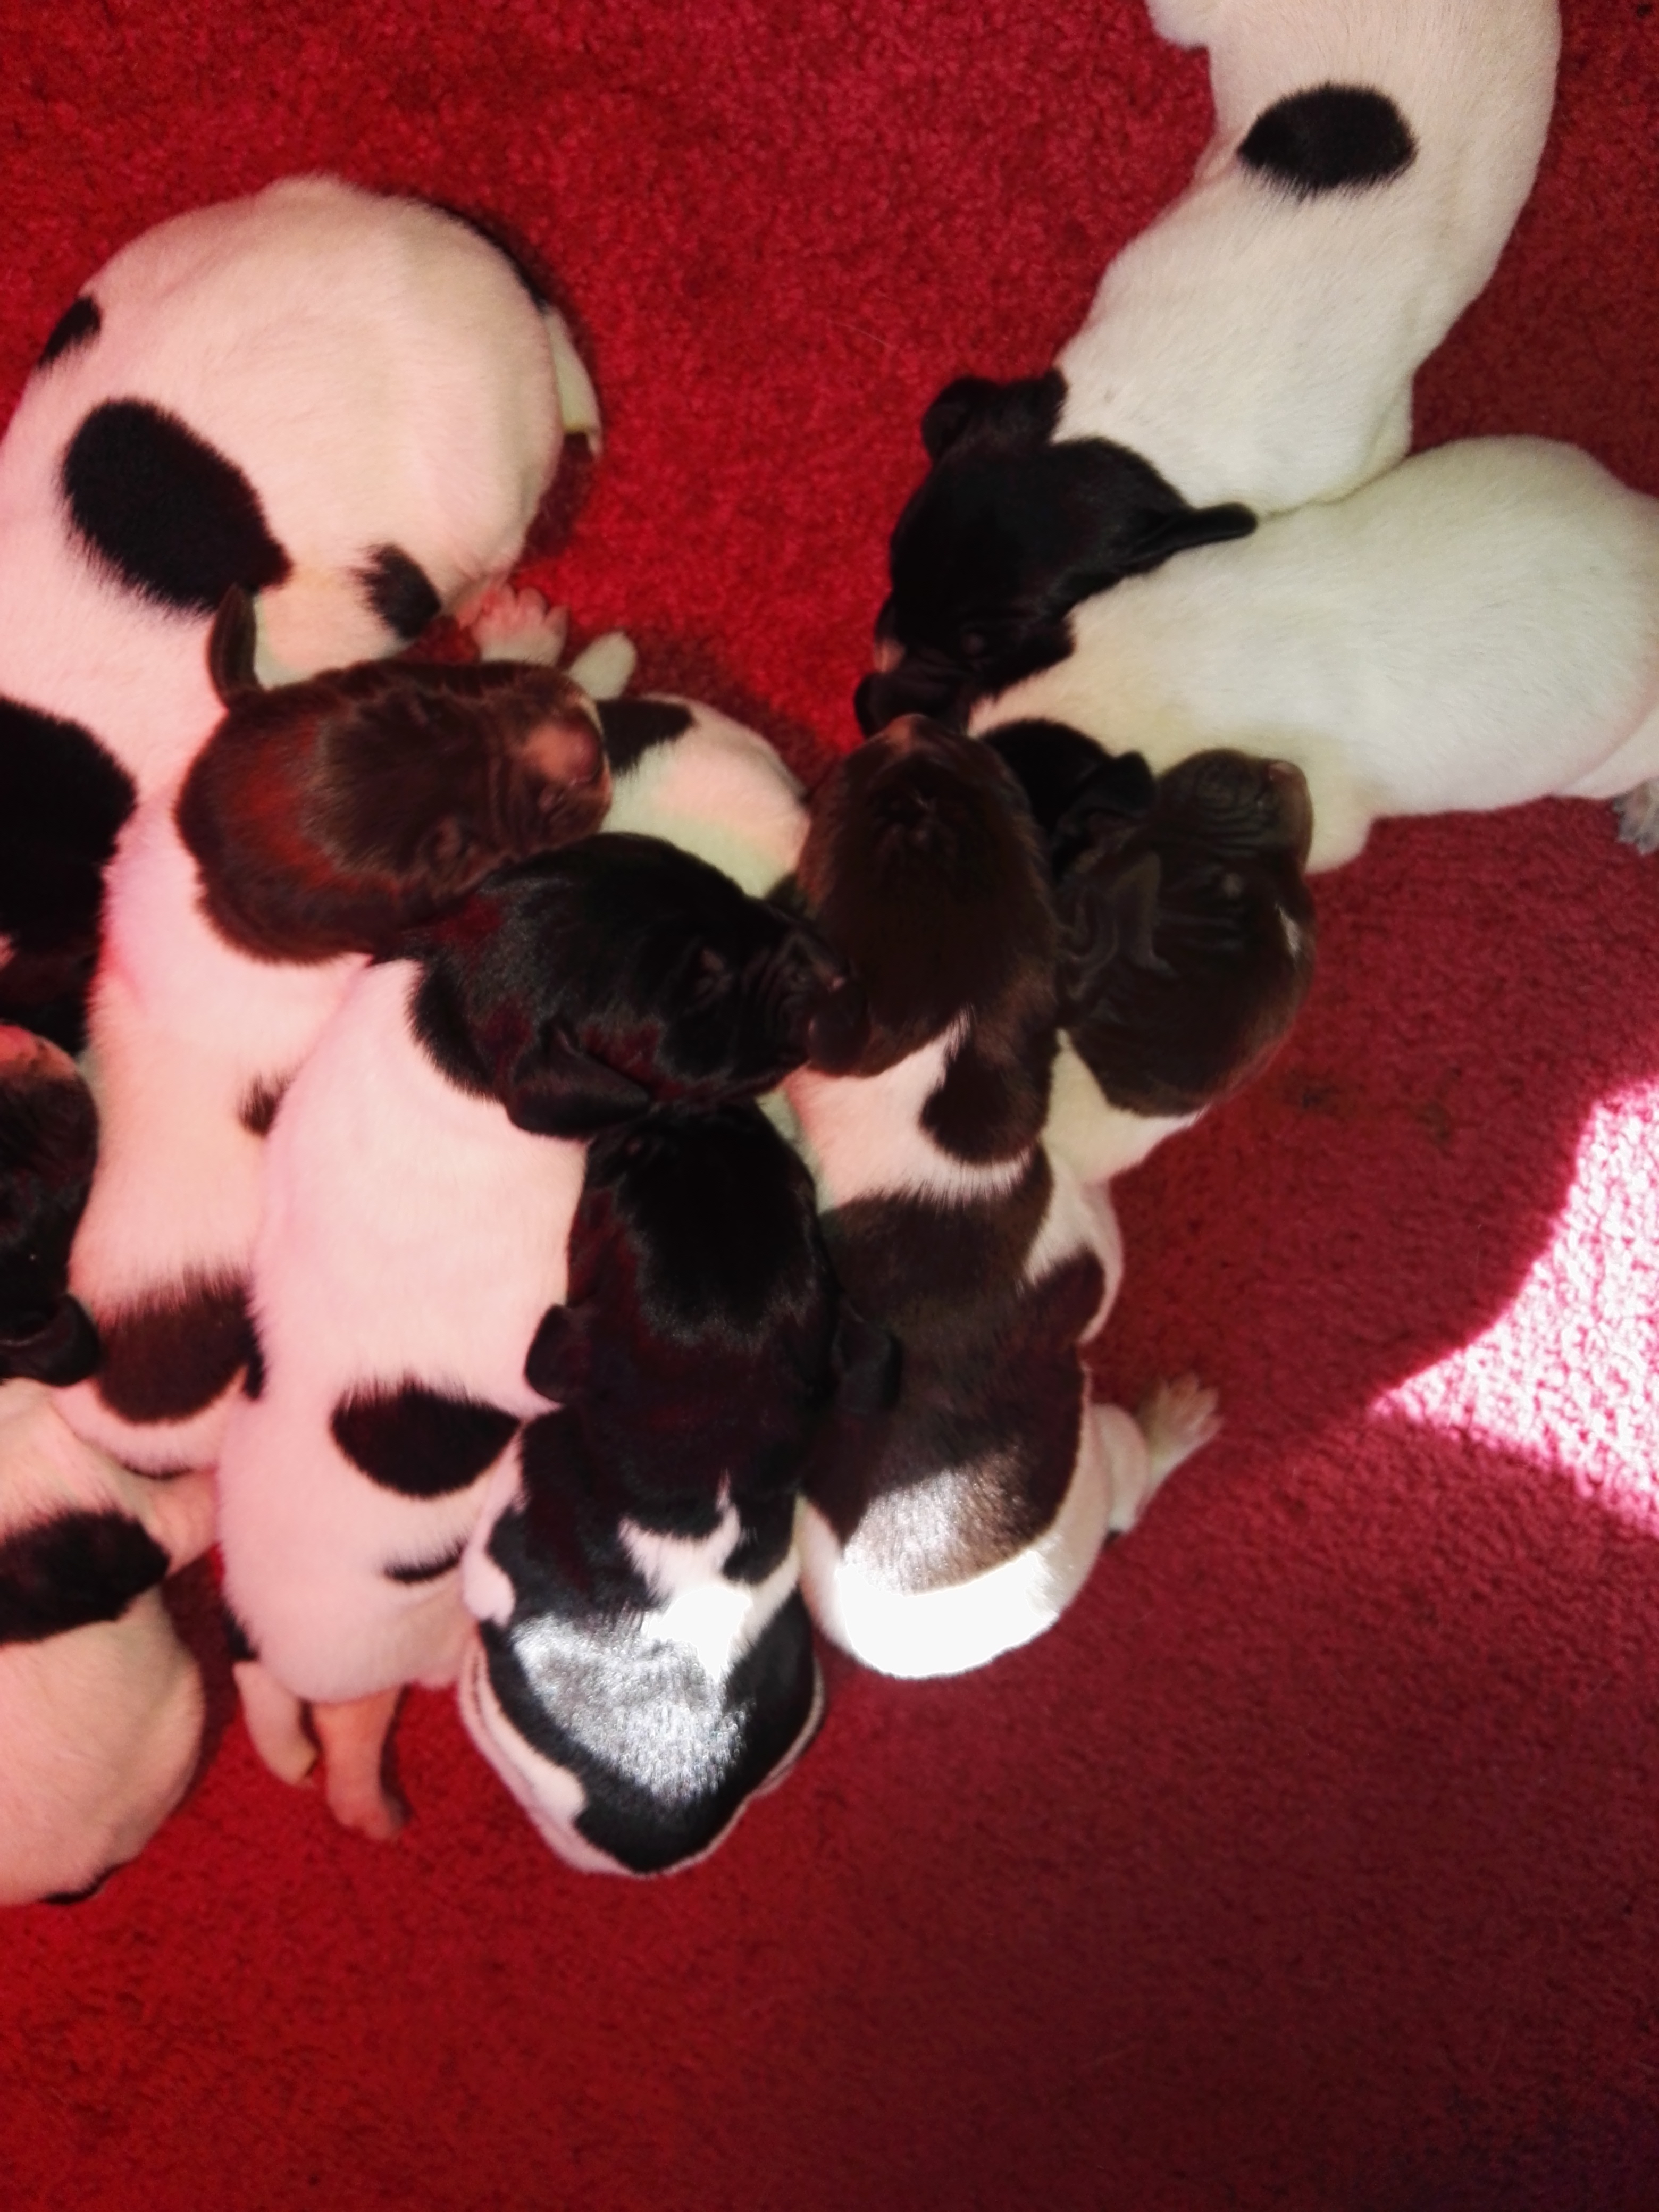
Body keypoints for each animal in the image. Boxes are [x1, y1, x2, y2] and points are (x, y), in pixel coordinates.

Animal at [216, 834, 845, 1840]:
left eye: (721, 887)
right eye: (699, 989)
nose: (833, 970)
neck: (454, 1032)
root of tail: (256, 1634)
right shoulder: (543, 1329)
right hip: (389, 1648)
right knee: (356, 1724)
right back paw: (370, 1802)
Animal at [781, 718, 1218, 1679]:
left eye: (996, 788)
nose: (918, 732)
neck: (924, 1078)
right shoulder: (1089, 1254)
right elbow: (1100, 1247)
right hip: (1101, 1455)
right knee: (1135, 1476)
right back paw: (1177, 1425)